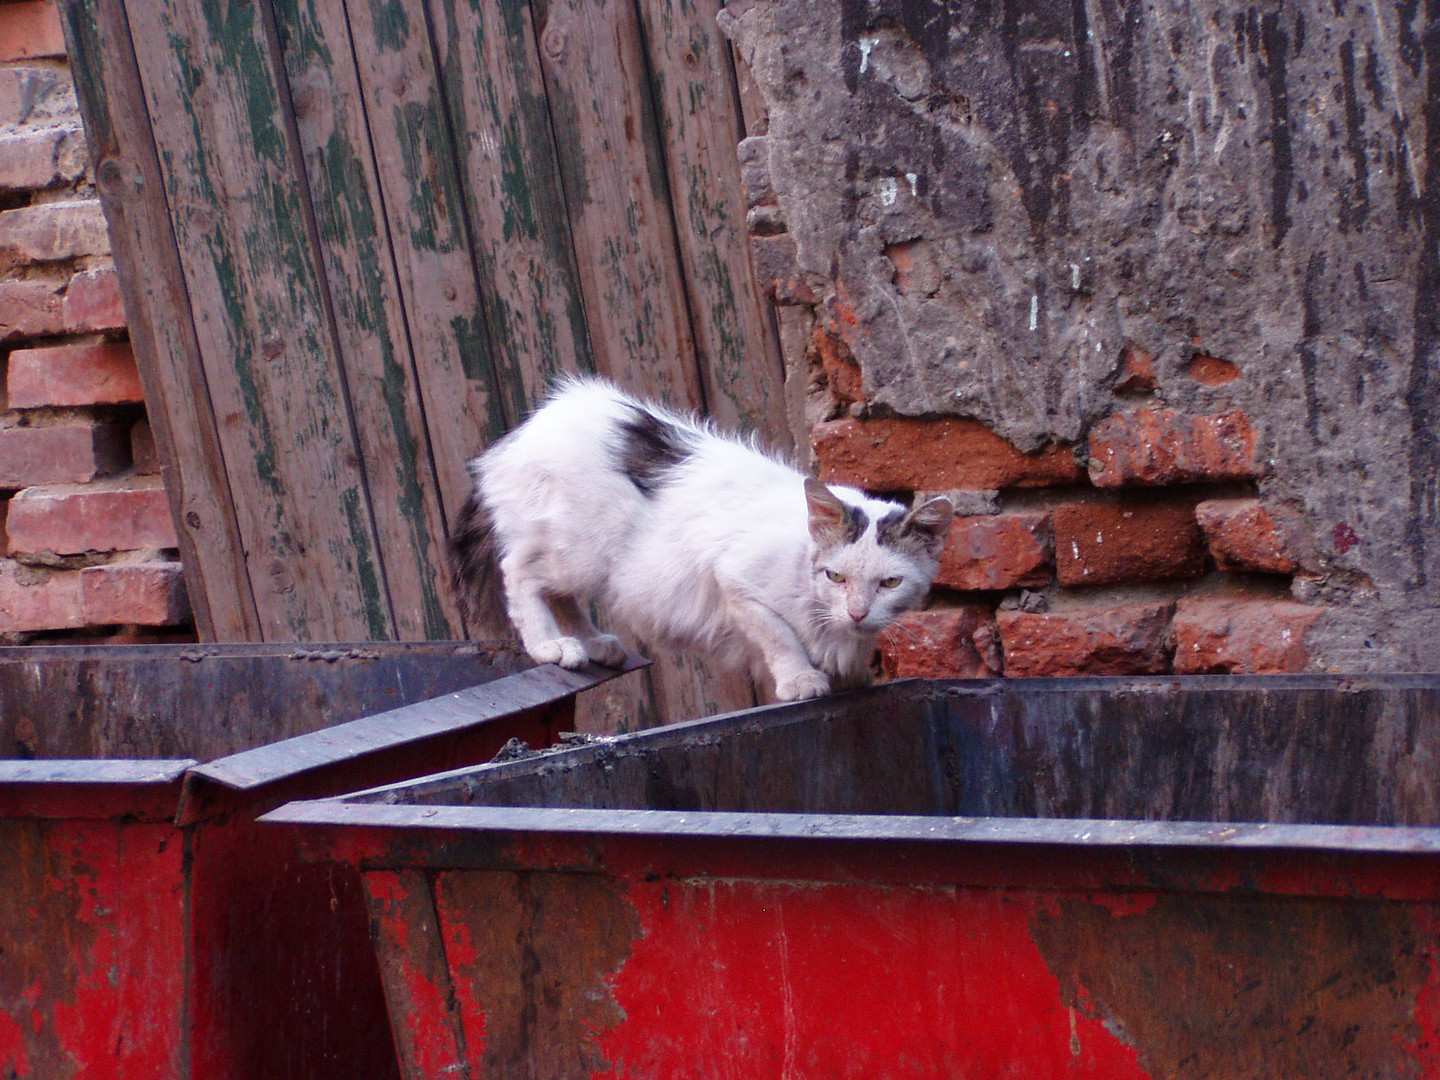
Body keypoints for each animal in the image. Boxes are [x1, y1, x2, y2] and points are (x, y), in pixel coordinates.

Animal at [443, 377, 950, 702]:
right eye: (836, 576)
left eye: (890, 583)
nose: (857, 611)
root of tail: (520, 436)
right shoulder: (736, 580)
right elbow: (780, 635)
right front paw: (801, 679)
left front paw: (853, 674)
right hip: (579, 550)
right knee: (521, 574)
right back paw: (551, 646)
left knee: (560, 594)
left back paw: (595, 644)